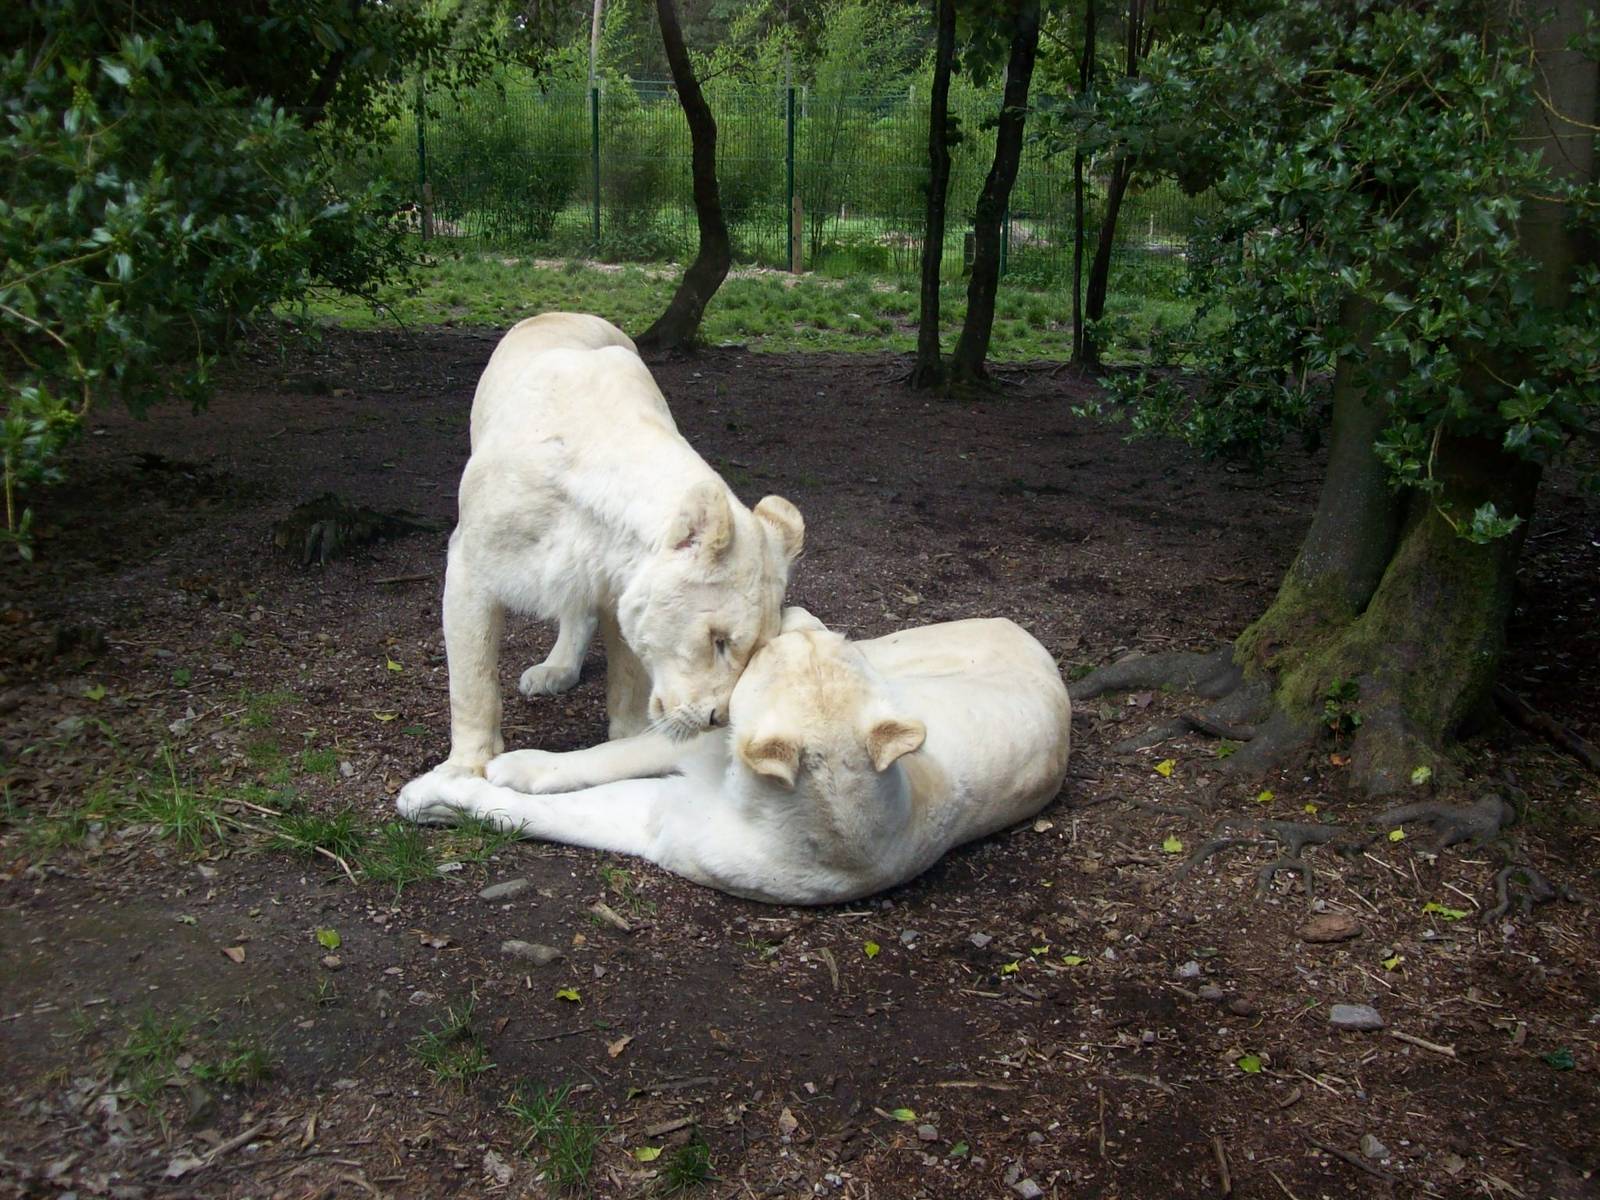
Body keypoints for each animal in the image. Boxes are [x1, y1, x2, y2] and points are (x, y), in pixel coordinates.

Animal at [396, 610, 1072, 905]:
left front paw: (445, 792)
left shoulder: (663, 813)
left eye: (772, 654)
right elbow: (613, 751)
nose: (791, 611)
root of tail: (1016, 624)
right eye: (825, 635)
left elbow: (556, 804)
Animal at [404, 313, 805, 796]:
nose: (717, 719)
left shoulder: (620, 591)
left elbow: (629, 679)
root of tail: (564, 313)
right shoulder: (470, 566)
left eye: (755, 650)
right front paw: (464, 768)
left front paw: (629, 739)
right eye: (718, 641)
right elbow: (472, 680)